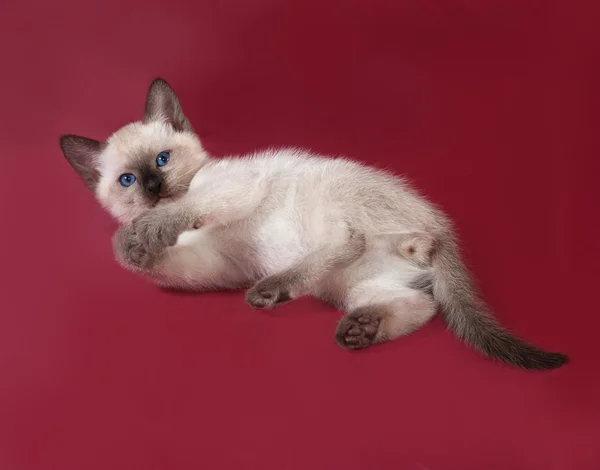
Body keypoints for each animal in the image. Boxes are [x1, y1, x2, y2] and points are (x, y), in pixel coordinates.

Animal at [58, 78, 568, 370]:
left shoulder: (231, 189)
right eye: (127, 180)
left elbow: (181, 211)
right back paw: (357, 328)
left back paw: (272, 289)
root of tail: (441, 232)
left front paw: (142, 233)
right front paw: (134, 244)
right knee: (418, 304)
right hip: (355, 285)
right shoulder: (215, 265)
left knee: (352, 238)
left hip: (325, 199)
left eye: (163, 160)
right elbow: (155, 262)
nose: (153, 187)